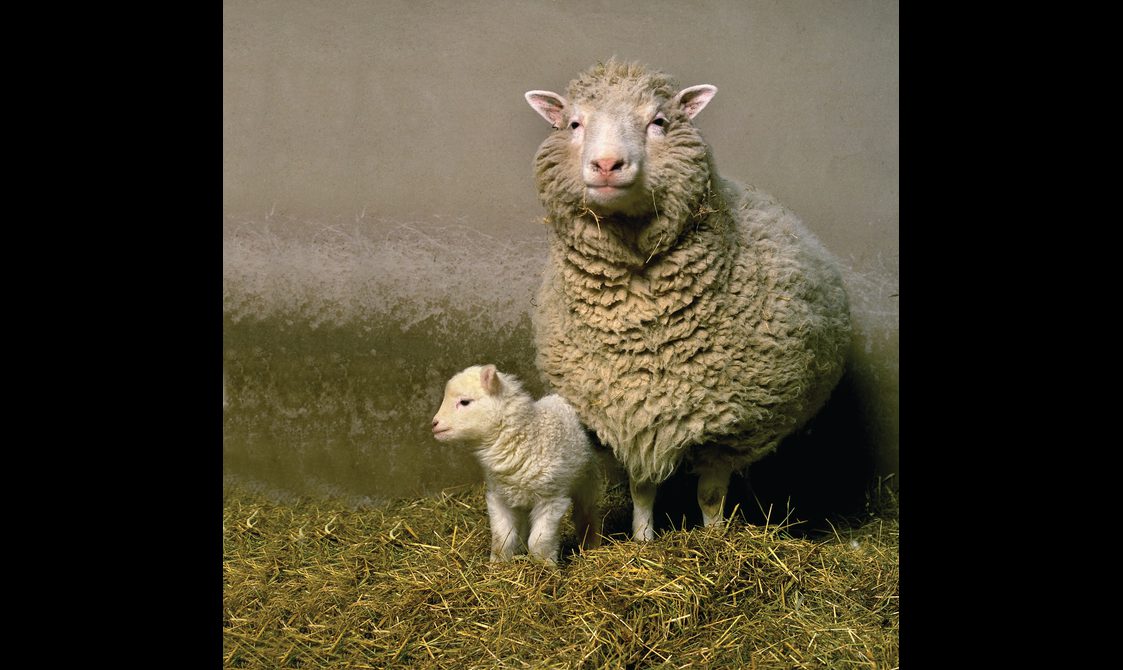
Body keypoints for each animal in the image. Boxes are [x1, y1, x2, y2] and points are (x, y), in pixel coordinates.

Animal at [431, 364, 604, 564]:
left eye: (465, 402)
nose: (434, 424)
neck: (526, 437)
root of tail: (560, 398)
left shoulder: (551, 499)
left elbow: (539, 541)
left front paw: (545, 566)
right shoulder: (499, 498)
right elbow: (502, 538)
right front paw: (498, 564)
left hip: (587, 479)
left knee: (586, 512)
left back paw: (591, 544)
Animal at [524, 59, 852, 541]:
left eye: (659, 122)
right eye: (573, 124)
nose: (606, 164)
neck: (642, 325)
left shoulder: (729, 427)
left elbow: (710, 496)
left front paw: (715, 540)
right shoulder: (632, 413)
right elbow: (642, 490)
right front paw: (642, 541)